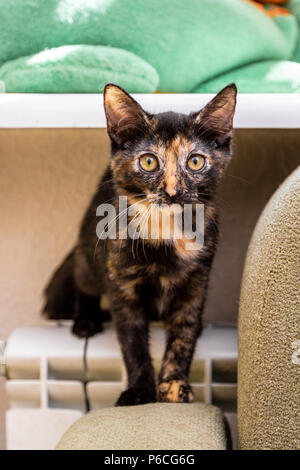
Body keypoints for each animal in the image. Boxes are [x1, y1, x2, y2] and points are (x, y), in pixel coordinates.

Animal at [44, 82, 237, 406]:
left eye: (195, 161)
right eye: (149, 161)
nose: (173, 191)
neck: (165, 231)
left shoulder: (195, 286)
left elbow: (183, 337)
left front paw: (173, 384)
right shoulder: (122, 288)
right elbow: (132, 343)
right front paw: (139, 390)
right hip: (89, 255)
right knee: (83, 282)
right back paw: (86, 320)